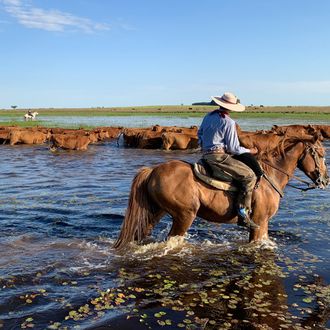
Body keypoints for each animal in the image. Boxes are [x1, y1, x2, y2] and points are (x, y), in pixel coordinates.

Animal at [114, 133, 330, 249]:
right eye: (320, 154)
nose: (325, 180)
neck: (270, 176)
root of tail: (153, 170)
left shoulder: (264, 223)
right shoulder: (259, 222)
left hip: (155, 212)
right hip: (184, 216)